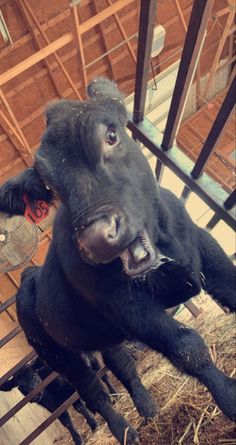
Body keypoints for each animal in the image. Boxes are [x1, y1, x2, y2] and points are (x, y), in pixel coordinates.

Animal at [0, 78, 236, 442]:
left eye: (111, 136)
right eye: (49, 186)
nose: (96, 237)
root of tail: (30, 276)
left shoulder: (205, 246)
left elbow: (231, 287)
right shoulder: (130, 307)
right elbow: (187, 348)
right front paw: (229, 398)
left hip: (103, 338)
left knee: (121, 368)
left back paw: (148, 408)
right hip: (59, 356)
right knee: (93, 394)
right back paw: (123, 430)